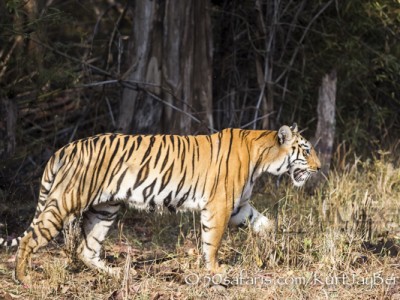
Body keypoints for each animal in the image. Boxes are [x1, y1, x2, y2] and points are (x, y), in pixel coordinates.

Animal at [0, 123, 318, 282]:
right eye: (306, 150)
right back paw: (22, 278)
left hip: (105, 210)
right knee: (30, 238)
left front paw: (278, 248)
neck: (262, 159)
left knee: (85, 250)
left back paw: (120, 273)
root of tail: (65, 148)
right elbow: (212, 241)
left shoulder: (239, 207)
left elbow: (267, 225)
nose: (319, 167)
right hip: (66, 201)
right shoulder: (220, 205)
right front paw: (215, 270)